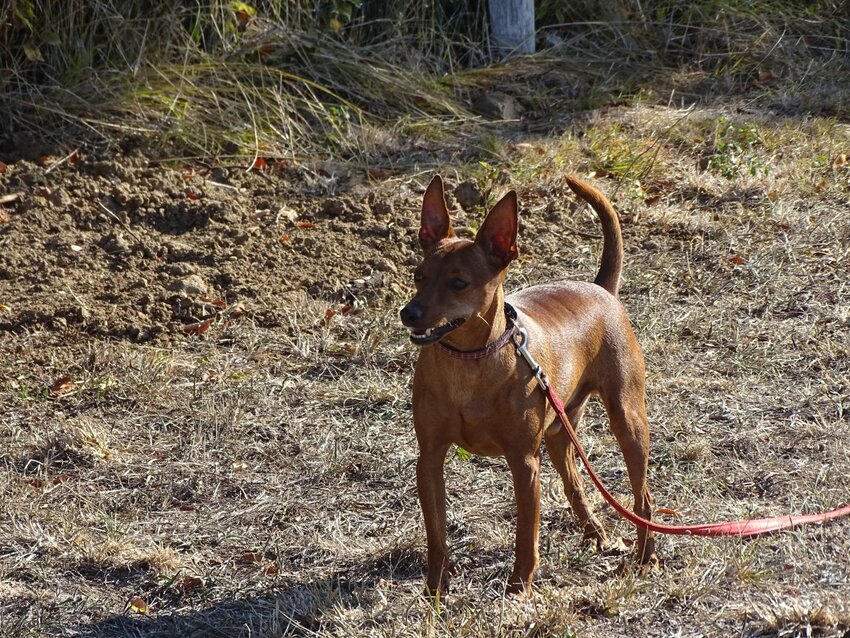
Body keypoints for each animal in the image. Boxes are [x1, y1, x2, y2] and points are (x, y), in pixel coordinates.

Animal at [400, 174, 656, 596]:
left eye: (458, 283)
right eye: (418, 275)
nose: (409, 313)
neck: (469, 362)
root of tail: (600, 288)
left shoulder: (524, 463)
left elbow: (526, 533)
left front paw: (519, 587)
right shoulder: (430, 458)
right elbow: (436, 534)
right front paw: (436, 587)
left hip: (627, 420)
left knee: (643, 498)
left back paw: (645, 557)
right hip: (559, 430)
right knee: (574, 483)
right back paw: (596, 533)